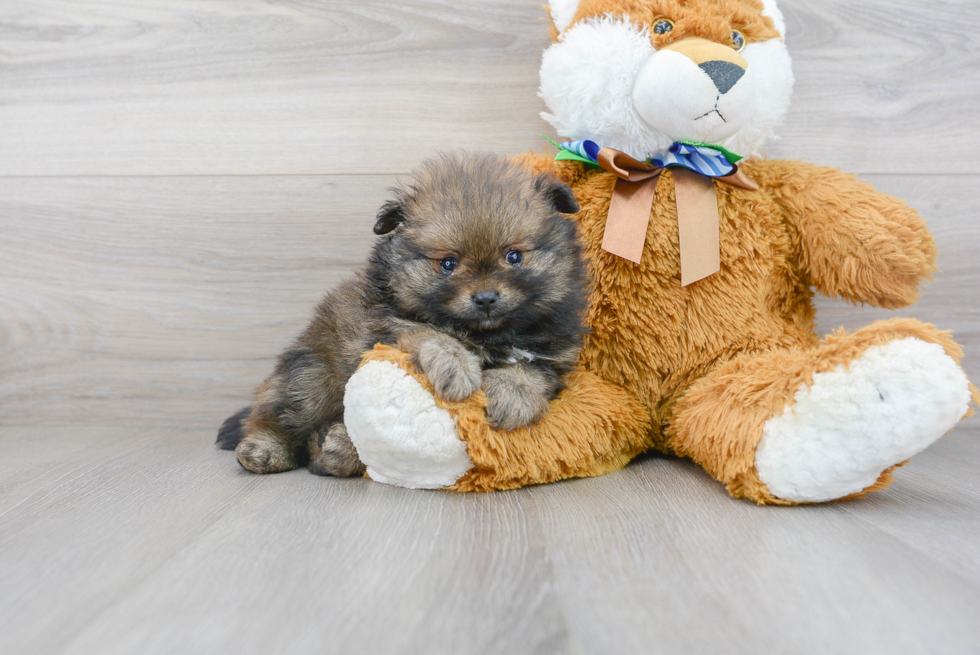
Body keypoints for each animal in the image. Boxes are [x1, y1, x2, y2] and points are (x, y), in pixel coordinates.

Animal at [218, 152, 584, 476]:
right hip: (311, 379)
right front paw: (456, 365)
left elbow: (531, 370)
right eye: (448, 263)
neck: (486, 336)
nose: (485, 299)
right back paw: (268, 449)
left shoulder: (554, 354)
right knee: (274, 416)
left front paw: (512, 395)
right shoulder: (389, 330)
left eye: (514, 257)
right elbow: (431, 334)